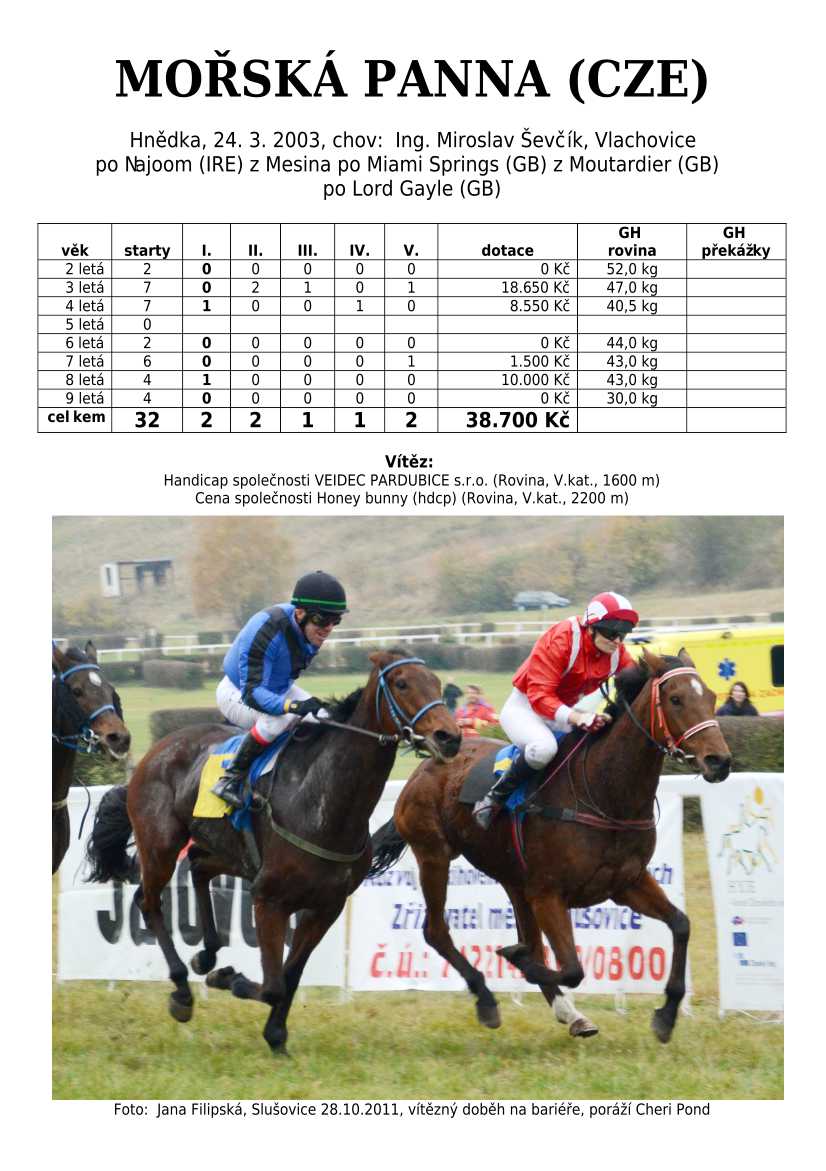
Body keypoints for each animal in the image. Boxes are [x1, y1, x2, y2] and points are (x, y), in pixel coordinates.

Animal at [86, 649, 462, 1053]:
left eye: (436, 683)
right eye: (401, 683)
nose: (450, 737)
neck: (323, 799)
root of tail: (152, 754)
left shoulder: (325, 906)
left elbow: (291, 975)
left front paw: (275, 1034)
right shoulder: (269, 899)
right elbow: (272, 986)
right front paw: (229, 980)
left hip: (230, 852)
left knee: (199, 866)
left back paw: (207, 954)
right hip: (160, 845)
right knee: (149, 900)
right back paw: (183, 991)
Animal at [366, 648, 732, 1044]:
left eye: (711, 696)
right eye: (676, 699)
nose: (719, 761)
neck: (604, 792)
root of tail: (425, 766)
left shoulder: (627, 883)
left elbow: (681, 924)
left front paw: (666, 1015)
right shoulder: (549, 893)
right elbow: (569, 967)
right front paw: (516, 958)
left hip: (514, 880)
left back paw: (570, 1012)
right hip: (434, 856)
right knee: (436, 930)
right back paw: (488, 998)